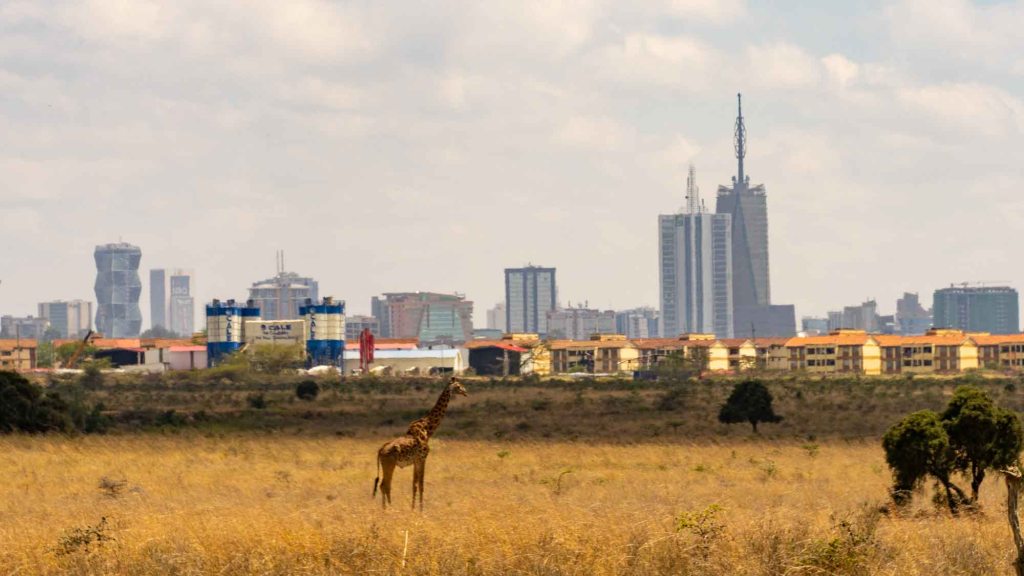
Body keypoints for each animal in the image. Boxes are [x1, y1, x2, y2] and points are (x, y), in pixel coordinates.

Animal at [373, 376, 467, 510]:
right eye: (458, 386)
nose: (465, 392)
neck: (428, 428)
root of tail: (380, 451)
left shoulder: (416, 461)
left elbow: (414, 484)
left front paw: (413, 508)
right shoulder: (423, 458)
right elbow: (421, 484)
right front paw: (422, 510)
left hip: (386, 465)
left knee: (383, 485)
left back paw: (386, 509)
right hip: (389, 464)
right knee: (385, 485)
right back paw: (390, 509)